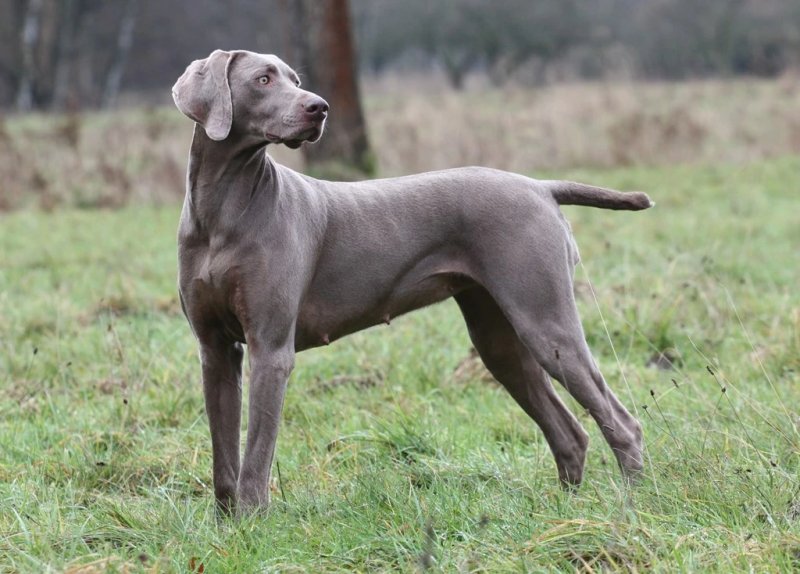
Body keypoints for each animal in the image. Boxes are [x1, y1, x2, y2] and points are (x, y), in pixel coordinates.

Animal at [170, 49, 648, 516]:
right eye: (264, 79)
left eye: (296, 80)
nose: (319, 107)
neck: (223, 212)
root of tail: (539, 186)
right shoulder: (215, 350)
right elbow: (224, 455)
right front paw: (227, 525)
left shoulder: (271, 350)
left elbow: (256, 453)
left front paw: (253, 523)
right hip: (499, 340)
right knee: (569, 432)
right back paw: (566, 511)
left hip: (546, 322)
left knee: (622, 422)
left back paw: (632, 504)